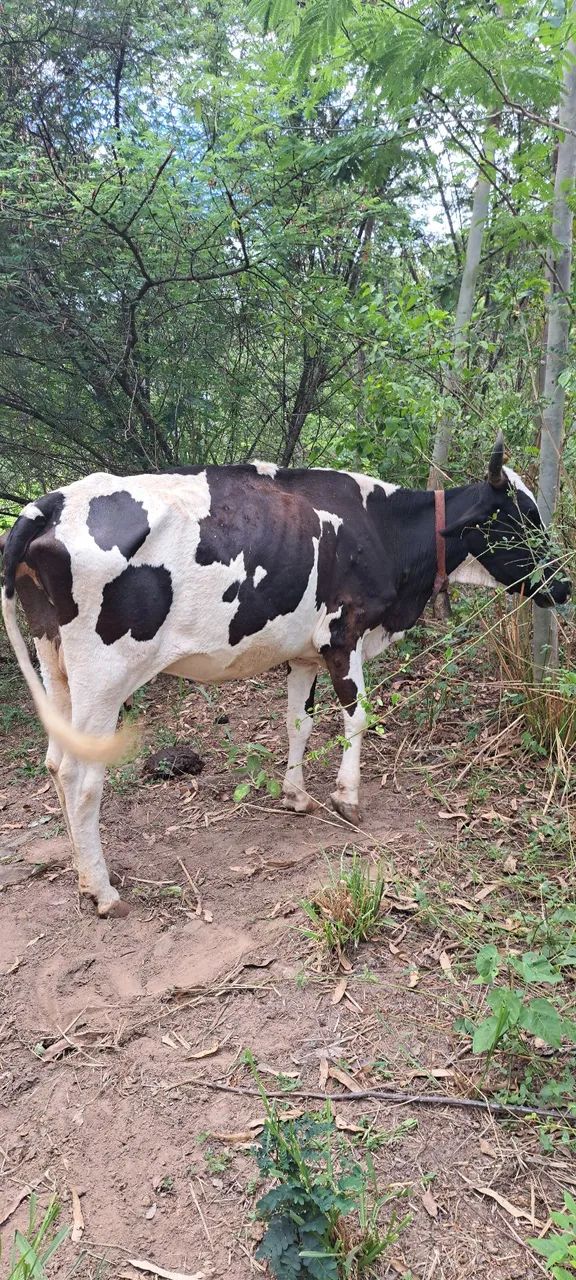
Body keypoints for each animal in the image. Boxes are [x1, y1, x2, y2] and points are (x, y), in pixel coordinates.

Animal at [1, 434, 570, 917]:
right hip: (103, 674)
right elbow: (357, 717)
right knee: (79, 775)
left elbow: (299, 722)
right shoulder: (343, 633)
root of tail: (49, 504)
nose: (564, 585)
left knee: (55, 761)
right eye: (520, 520)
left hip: (55, 661)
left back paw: (83, 875)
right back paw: (103, 891)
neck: (383, 530)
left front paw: (296, 796)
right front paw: (347, 798)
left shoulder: (304, 653)